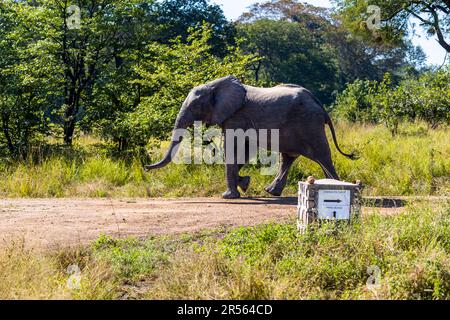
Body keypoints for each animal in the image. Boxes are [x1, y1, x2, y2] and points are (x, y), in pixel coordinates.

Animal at [146, 76, 356, 199]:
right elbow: (243, 151)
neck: (215, 85)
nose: (146, 168)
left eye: (195, 106)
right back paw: (271, 192)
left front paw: (228, 196)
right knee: (288, 157)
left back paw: (337, 188)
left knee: (322, 156)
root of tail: (318, 103)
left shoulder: (235, 117)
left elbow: (232, 149)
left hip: (310, 124)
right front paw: (244, 183)